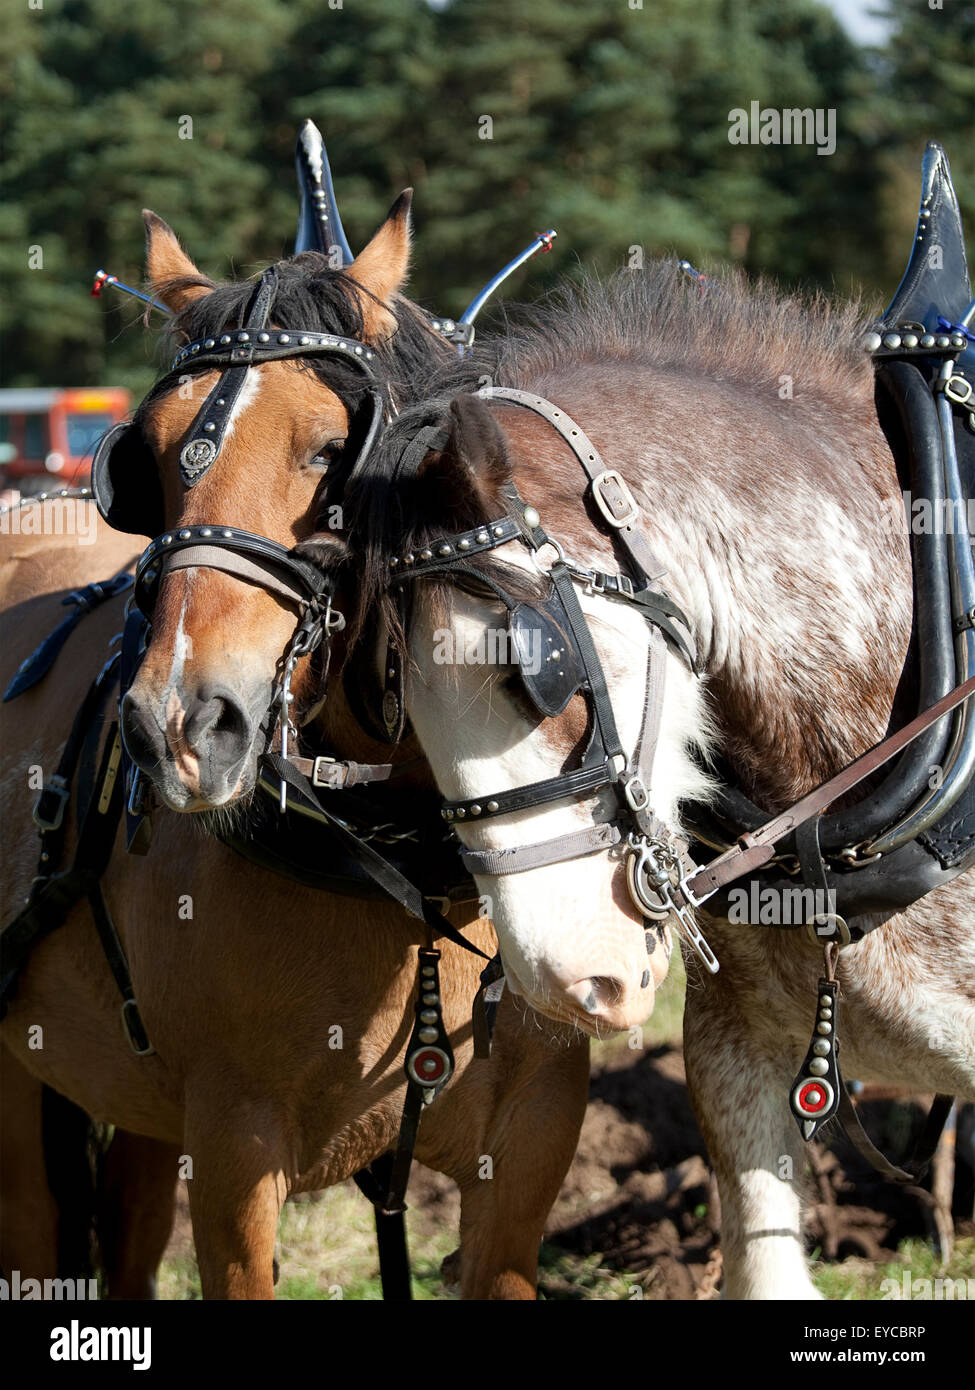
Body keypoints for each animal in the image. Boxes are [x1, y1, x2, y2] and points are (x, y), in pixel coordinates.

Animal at [0, 203, 590, 1299]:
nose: (179, 724)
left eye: (329, 450)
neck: (404, 870)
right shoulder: (237, 1147)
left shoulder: (533, 1140)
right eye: (147, 459)